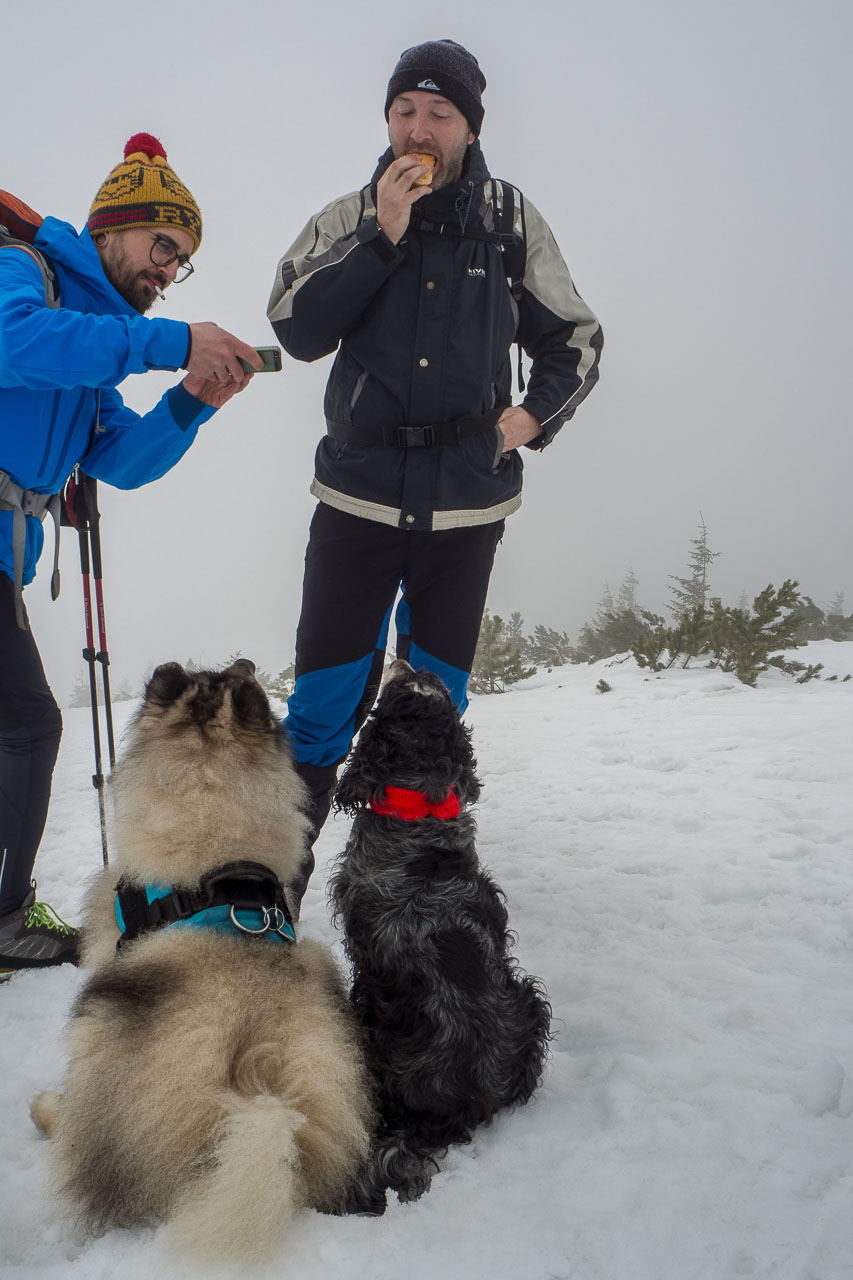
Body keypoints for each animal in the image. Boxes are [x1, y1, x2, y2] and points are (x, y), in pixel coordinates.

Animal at [325, 660, 550, 1208]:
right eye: (428, 690)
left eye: (399, 691)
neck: (418, 811)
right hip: (530, 1001)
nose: (412, 662)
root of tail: (456, 1105)